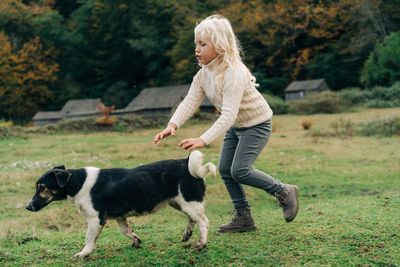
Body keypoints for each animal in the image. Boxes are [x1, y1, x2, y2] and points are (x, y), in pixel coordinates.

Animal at [25, 151, 216, 258]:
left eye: (42, 187)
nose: (28, 207)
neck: (77, 183)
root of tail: (186, 162)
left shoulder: (95, 219)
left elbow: (89, 238)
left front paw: (83, 254)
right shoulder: (120, 216)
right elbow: (126, 231)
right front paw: (137, 242)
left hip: (189, 202)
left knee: (204, 222)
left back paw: (201, 244)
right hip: (180, 203)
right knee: (193, 219)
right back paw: (187, 236)